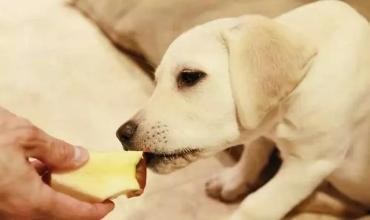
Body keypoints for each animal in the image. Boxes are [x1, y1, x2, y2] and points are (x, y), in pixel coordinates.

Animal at [116, 0, 370, 219]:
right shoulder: (261, 130)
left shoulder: (309, 164)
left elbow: (256, 205)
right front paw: (233, 180)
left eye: (189, 77)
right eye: (156, 81)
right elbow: (252, 154)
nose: (121, 135)